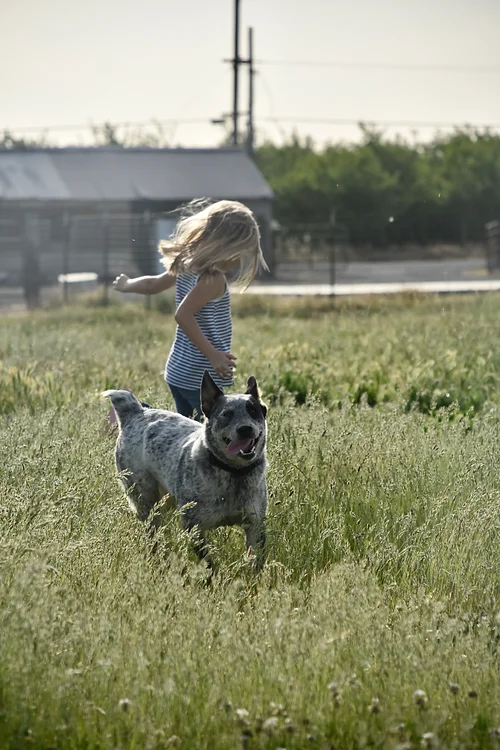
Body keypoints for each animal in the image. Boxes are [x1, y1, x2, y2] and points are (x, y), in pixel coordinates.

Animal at [102, 374, 270, 572]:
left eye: (253, 410)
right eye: (226, 414)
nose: (245, 429)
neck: (233, 472)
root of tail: (137, 412)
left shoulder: (255, 524)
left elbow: (255, 563)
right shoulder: (193, 526)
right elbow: (208, 563)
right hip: (147, 503)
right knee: (153, 535)